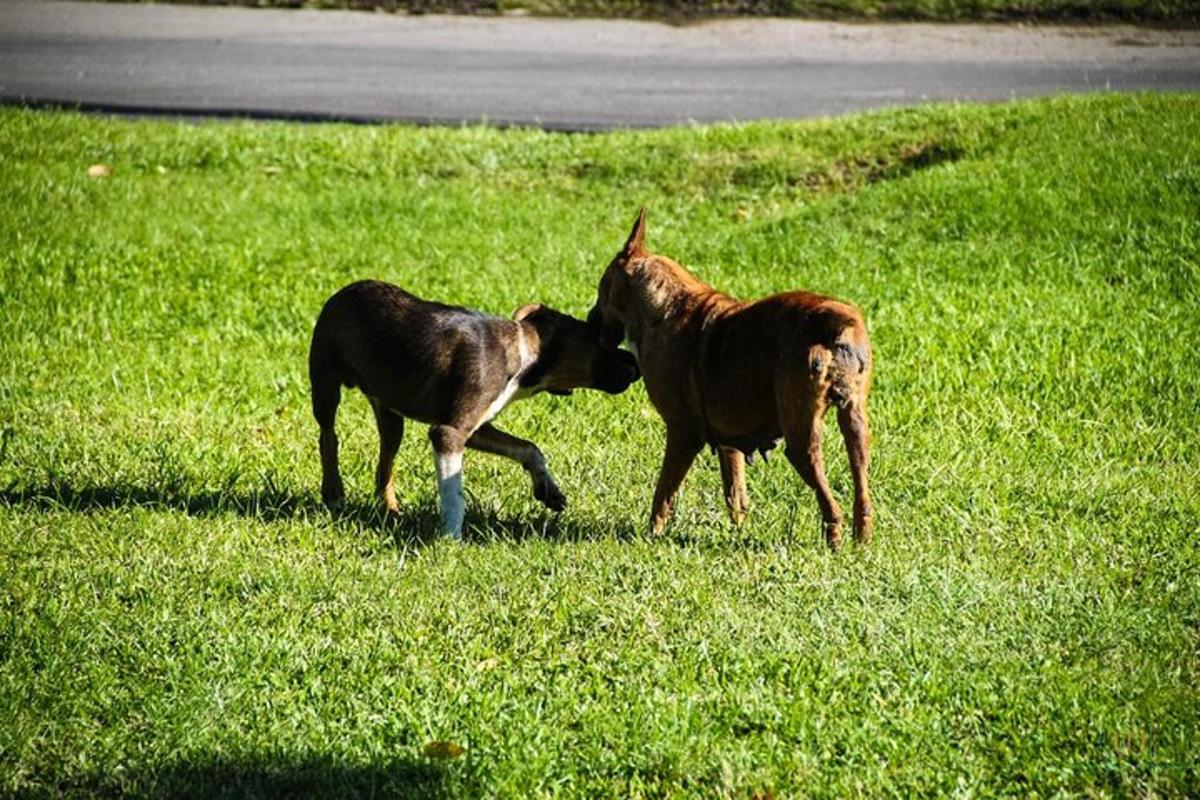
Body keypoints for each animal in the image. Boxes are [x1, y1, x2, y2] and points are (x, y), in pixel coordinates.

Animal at [314, 280, 643, 537]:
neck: (524, 355)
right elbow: (454, 495)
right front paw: (450, 538)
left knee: (385, 462)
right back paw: (334, 492)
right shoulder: (449, 433)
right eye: (600, 342)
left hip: (390, 412)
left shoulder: (476, 430)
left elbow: (529, 449)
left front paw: (549, 491)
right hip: (325, 382)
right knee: (328, 437)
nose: (635, 362)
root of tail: (345, 290)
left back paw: (391, 509)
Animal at [583, 211, 873, 551]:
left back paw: (834, 538)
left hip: (800, 438)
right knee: (861, 483)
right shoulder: (729, 441)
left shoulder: (682, 434)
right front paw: (738, 529)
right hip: (856, 424)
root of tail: (837, 324)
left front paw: (651, 534)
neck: (662, 306)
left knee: (827, 497)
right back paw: (862, 537)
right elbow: (735, 493)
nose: (589, 320)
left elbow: (664, 493)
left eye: (601, 288)